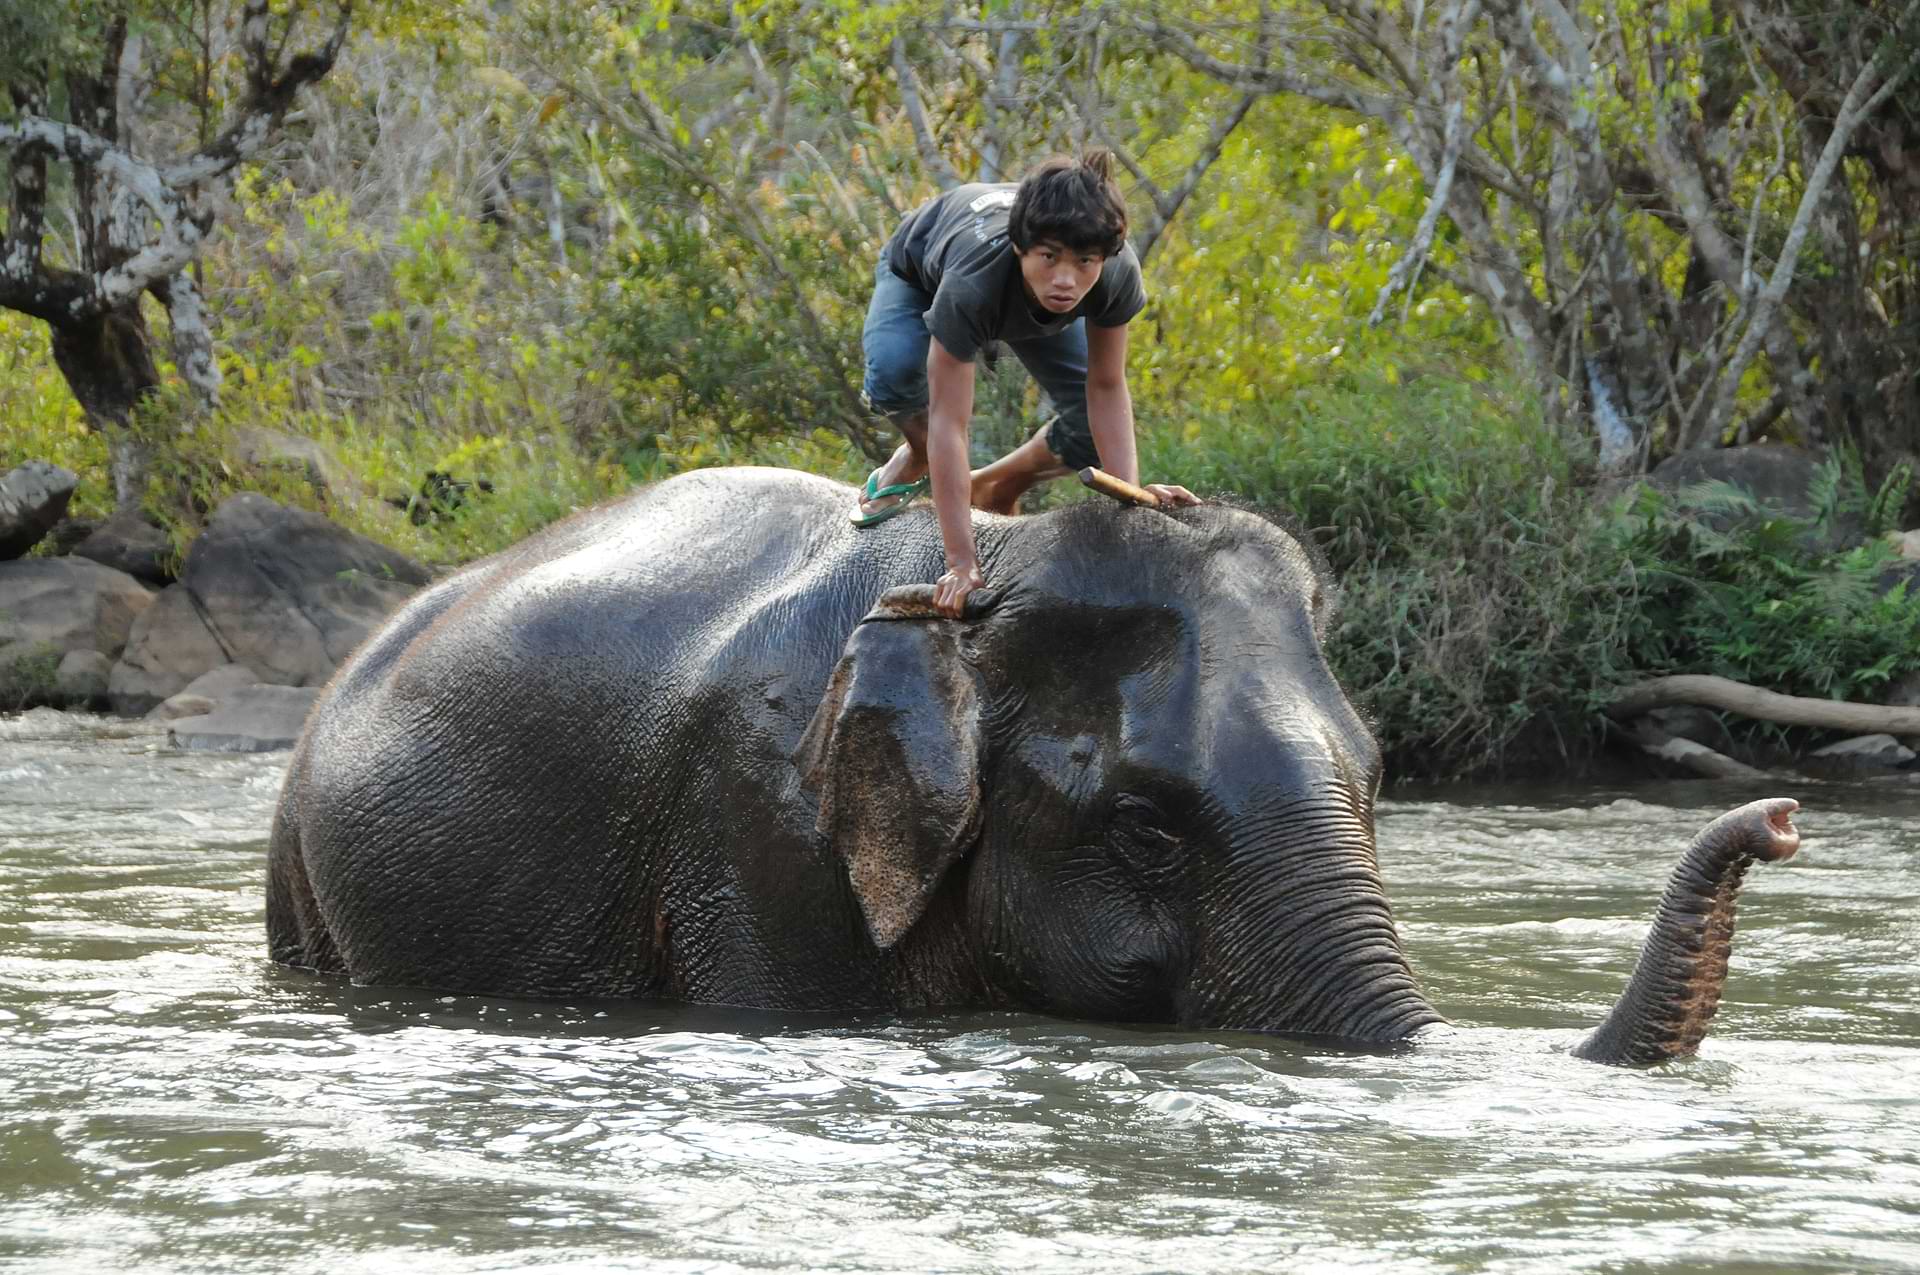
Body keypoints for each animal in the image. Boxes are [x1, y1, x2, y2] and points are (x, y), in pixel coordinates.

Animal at [266, 468, 1797, 1067]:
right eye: (1149, 832)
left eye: (1374, 788)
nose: (1781, 818)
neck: (984, 581)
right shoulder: (756, 826)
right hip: (299, 874)